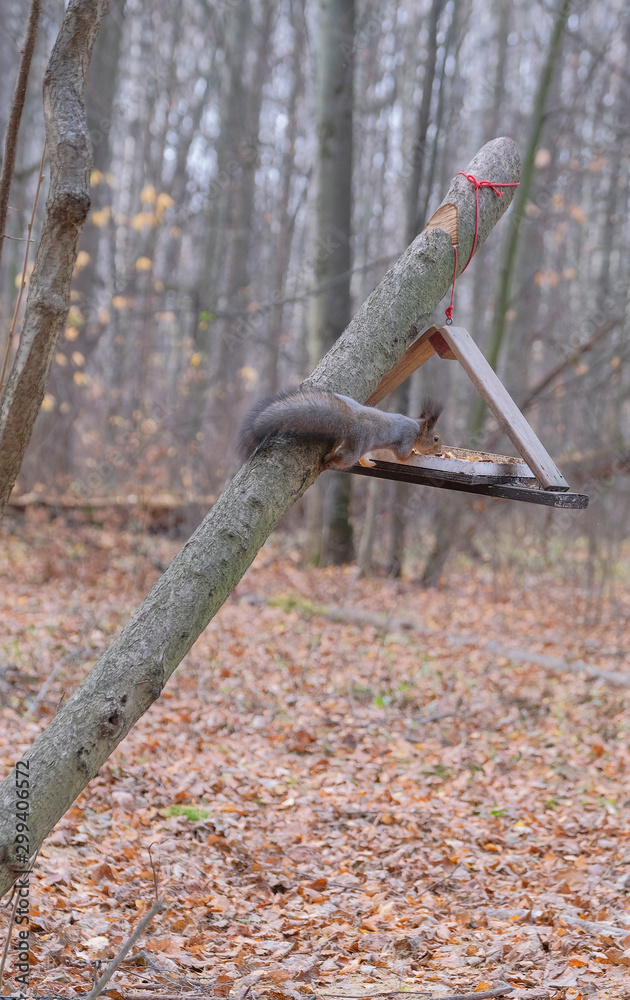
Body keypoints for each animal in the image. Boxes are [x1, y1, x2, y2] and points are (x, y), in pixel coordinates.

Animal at [239, 386, 443, 470]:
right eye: (436, 439)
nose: (440, 452)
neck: (416, 428)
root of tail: (351, 419)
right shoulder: (406, 439)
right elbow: (401, 456)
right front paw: (414, 454)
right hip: (357, 445)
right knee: (345, 457)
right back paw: (329, 458)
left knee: (359, 456)